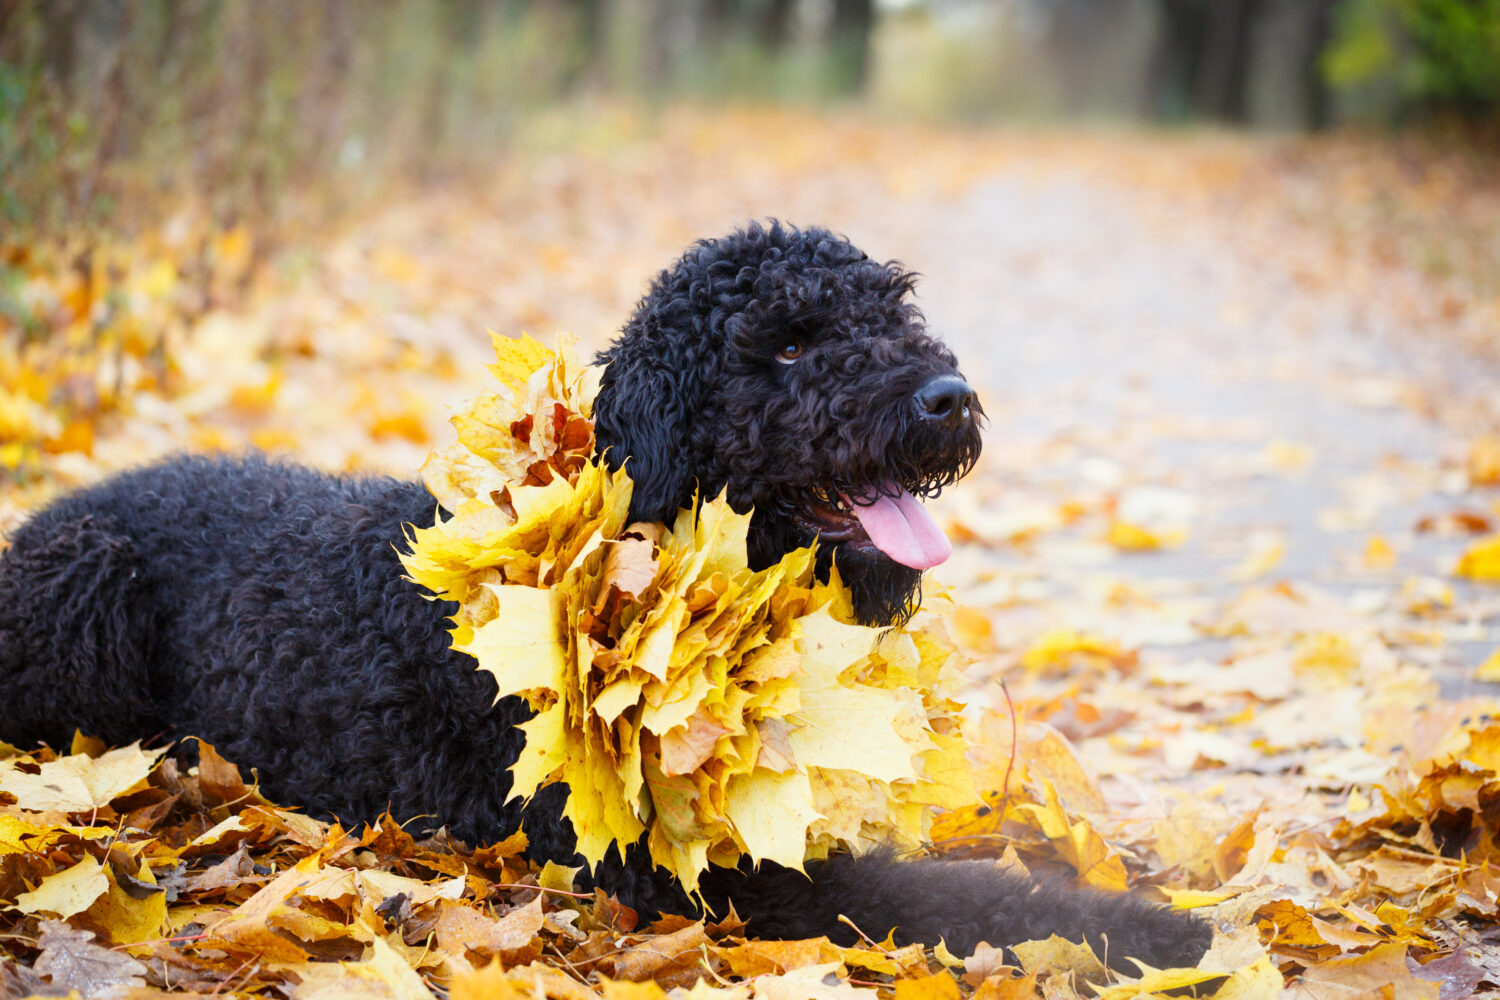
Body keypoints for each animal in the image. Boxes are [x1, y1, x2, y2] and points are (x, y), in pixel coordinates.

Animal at [0, 220, 1206, 971]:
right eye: (788, 345)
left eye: (894, 311)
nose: (946, 397)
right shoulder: (719, 880)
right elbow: (977, 900)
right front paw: (1171, 937)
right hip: (88, 588)